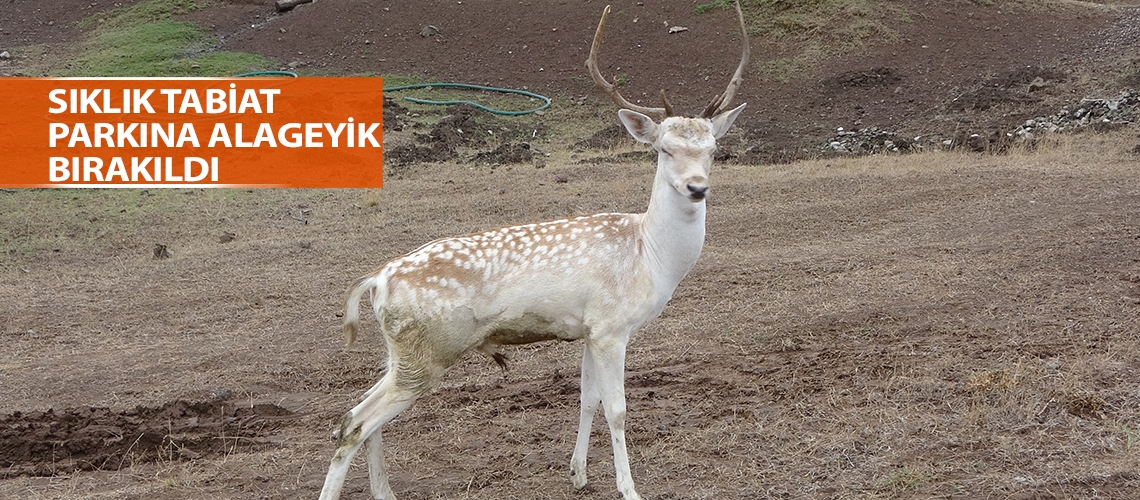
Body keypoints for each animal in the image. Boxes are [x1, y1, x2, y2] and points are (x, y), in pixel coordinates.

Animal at [319, 1, 747, 498]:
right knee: (353, 423)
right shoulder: (611, 327)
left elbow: (587, 399)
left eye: (714, 148)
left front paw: (578, 474)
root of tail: (377, 280)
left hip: (402, 353)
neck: (650, 256)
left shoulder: (588, 328)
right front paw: (629, 488)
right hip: (427, 353)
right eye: (663, 149)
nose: (697, 188)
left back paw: (385, 490)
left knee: (360, 416)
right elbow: (618, 410)